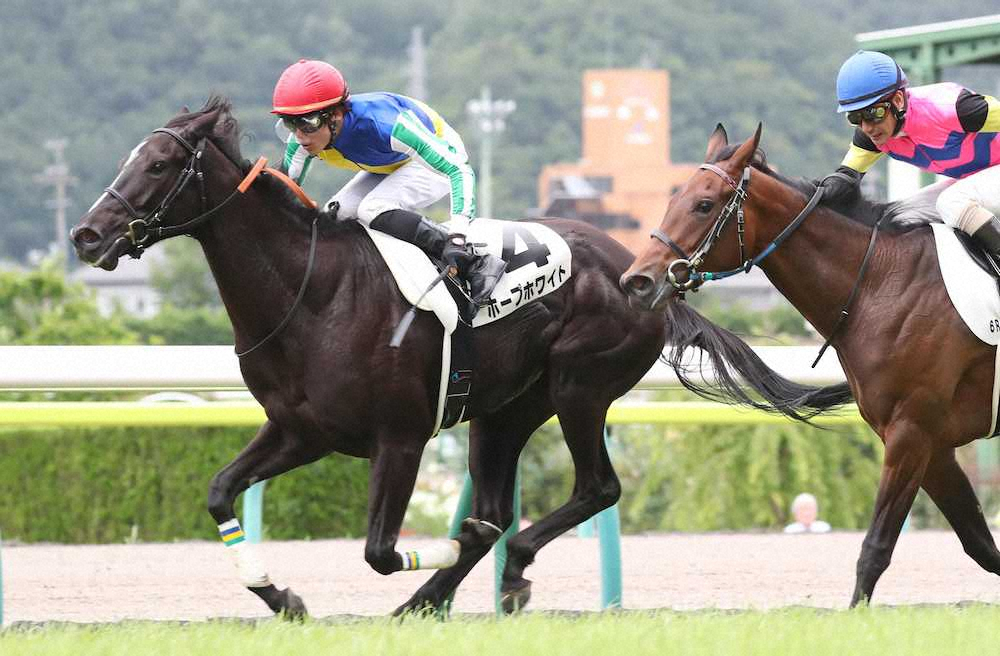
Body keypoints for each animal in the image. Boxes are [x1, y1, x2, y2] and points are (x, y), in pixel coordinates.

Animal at [71, 98, 851, 618]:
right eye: (131, 158)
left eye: (161, 164)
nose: (86, 235)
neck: (312, 292)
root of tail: (644, 271)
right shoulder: (300, 430)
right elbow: (219, 492)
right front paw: (282, 597)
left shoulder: (400, 437)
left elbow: (381, 548)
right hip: (502, 412)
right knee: (506, 505)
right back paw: (433, 597)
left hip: (578, 388)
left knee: (592, 490)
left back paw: (492, 577)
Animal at [621, 123, 1000, 607]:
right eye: (672, 200)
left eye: (703, 205)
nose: (637, 281)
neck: (881, 284)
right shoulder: (929, 443)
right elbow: (980, 545)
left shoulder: (911, 432)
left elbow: (875, 548)